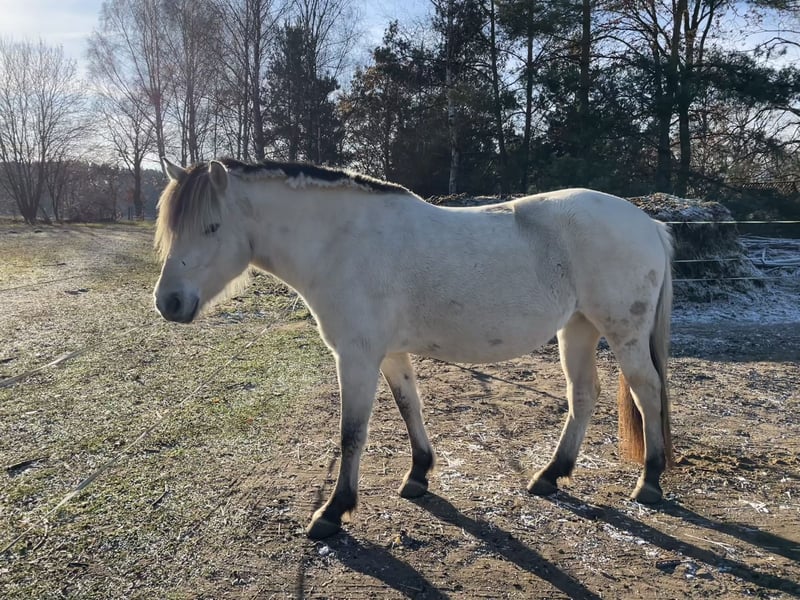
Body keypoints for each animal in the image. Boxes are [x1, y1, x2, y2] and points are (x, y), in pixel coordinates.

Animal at [153, 157, 674, 540]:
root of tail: (648, 222)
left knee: (647, 392)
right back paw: (551, 474)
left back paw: (649, 481)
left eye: (212, 227)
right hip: (578, 329)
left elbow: (352, 433)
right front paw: (419, 474)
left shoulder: (357, 357)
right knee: (583, 395)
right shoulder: (388, 353)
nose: (169, 302)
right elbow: (410, 406)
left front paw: (333, 511)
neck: (342, 242)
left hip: (623, 332)